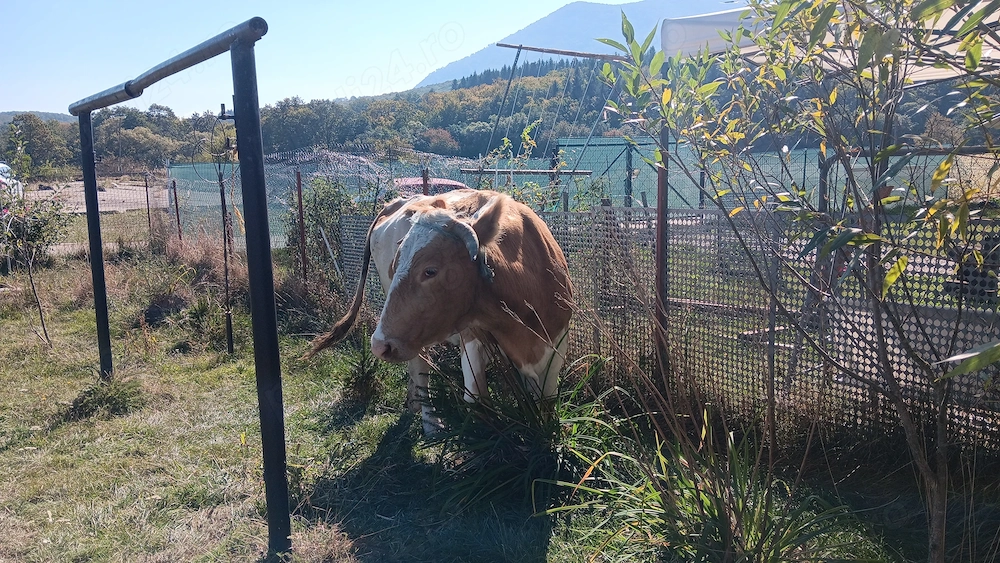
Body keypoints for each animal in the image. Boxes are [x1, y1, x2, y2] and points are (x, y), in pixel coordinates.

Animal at [304, 189, 573, 433]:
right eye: (394, 267)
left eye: (430, 271)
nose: (379, 345)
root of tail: (399, 201)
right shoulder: (472, 340)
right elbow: (478, 401)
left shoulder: (556, 347)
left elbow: (545, 402)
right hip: (410, 339)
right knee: (419, 368)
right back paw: (430, 420)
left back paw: (413, 402)